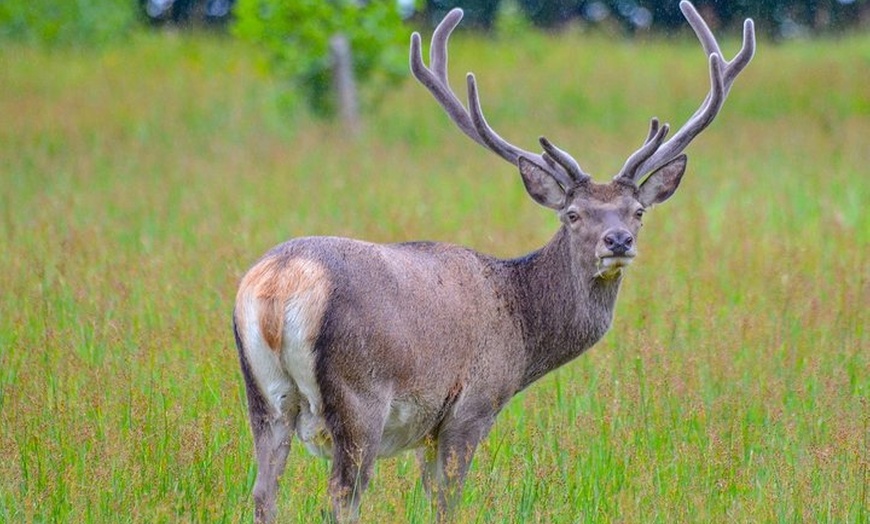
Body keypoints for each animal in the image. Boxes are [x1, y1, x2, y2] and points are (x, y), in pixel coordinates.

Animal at [233, 2, 756, 520]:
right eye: (572, 214)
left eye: (638, 211)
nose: (618, 240)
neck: (522, 333)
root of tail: (279, 284)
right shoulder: (472, 405)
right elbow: (447, 501)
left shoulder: (430, 428)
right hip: (359, 396)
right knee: (342, 496)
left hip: (263, 396)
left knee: (262, 489)